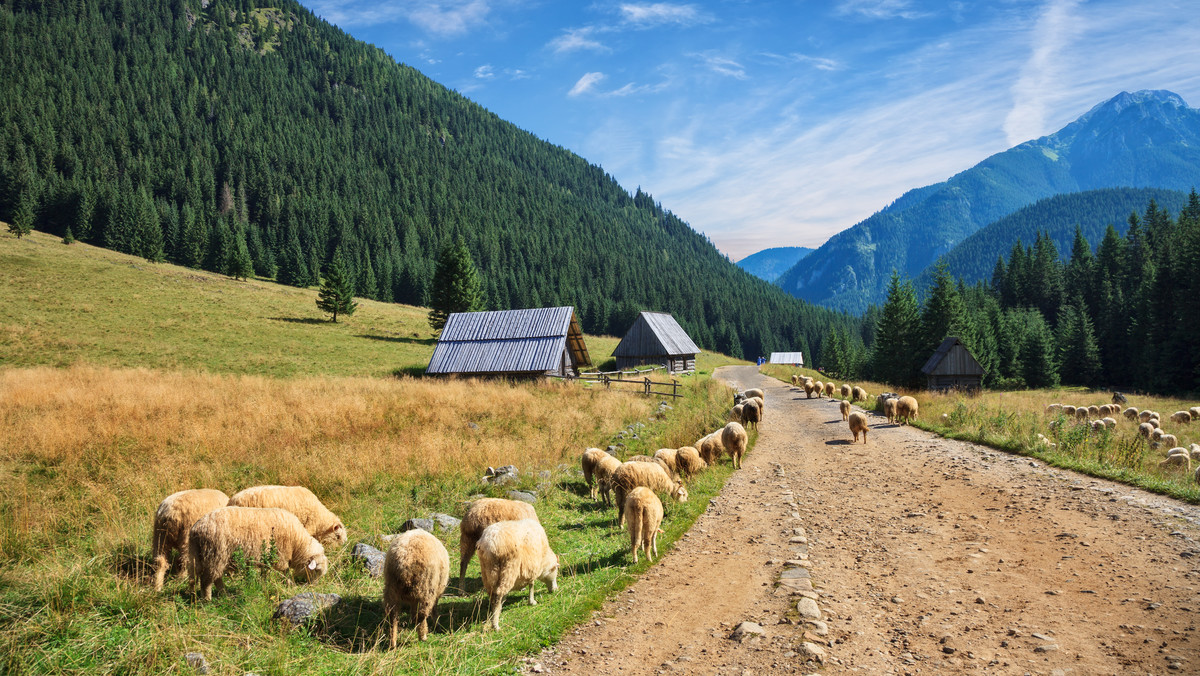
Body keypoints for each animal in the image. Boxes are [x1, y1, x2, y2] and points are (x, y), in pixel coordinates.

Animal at [184, 509, 324, 602]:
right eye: (316, 571)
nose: (314, 587)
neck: (297, 542)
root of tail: (197, 528)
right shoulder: (281, 555)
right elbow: (285, 571)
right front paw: (290, 584)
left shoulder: (268, 558)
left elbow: (265, 573)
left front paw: (264, 584)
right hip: (215, 554)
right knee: (207, 580)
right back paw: (207, 599)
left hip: (202, 555)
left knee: (214, 577)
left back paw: (224, 594)